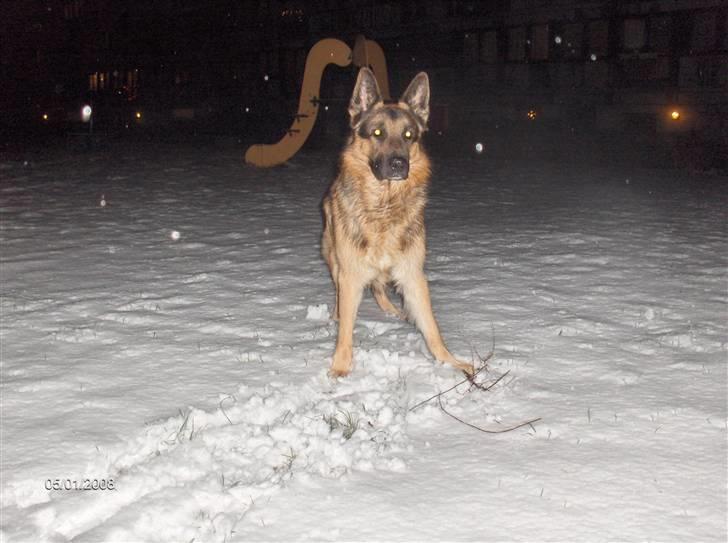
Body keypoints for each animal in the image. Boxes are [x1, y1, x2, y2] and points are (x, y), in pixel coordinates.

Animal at [322, 69, 472, 378]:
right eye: (377, 133)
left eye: (409, 135)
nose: (398, 164)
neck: (384, 205)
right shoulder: (351, 273)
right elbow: (346, 331)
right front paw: (341, 367)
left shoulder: (413, 275)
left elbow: (432, 327)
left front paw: (449, 362)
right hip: (334, 260)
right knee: (343, 294)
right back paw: (337, 314)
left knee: (379, 287)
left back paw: (391, 310)